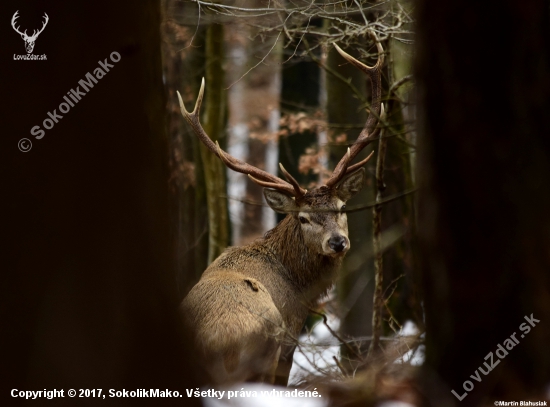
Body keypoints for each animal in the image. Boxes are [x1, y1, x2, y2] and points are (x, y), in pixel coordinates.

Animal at [179, 39, 386, 388]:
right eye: (303, 217)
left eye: (342, 208)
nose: (338, 242)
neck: (299, 284)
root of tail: (219, 341)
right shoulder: (290, 336)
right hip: (266, 349)